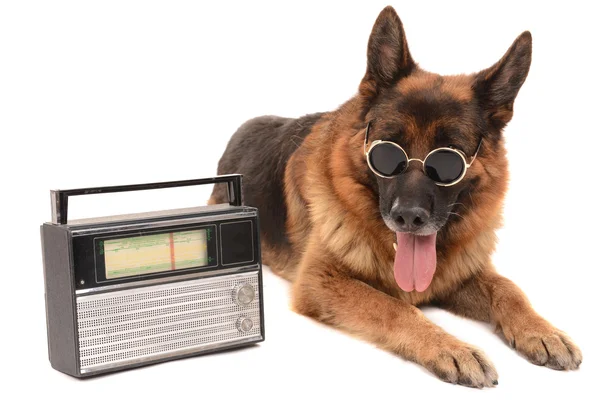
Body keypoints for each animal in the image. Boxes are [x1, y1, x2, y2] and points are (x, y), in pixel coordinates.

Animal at [211, 5, 580, 388]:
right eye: (387, 153)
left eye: (449, 161)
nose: (409, 217)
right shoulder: (320, 282)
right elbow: (393, 307)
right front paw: (449, 347)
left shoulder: (461, 273)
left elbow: (508, 288)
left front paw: (541, 330)